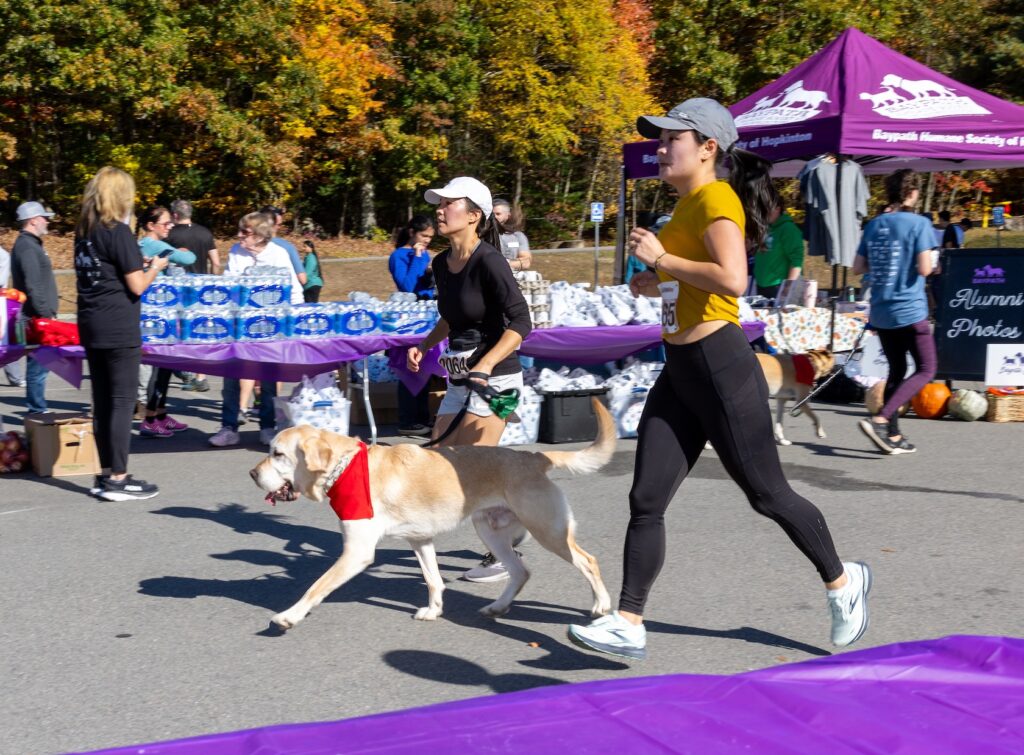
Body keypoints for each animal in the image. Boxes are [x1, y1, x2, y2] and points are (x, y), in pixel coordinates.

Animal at [249, 401, 614, 631]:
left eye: (277, 454)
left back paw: (601, 606)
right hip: (490, 531)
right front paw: (434, 610)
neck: (347, 465)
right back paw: (497, 607)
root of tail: (535, 456)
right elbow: (433, 579)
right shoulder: (420, 540)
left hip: (548, 531)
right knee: (521, 572)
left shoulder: (357, 552)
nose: (252, 474)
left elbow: (316, 587)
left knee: (588, 561)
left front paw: (289, 616)